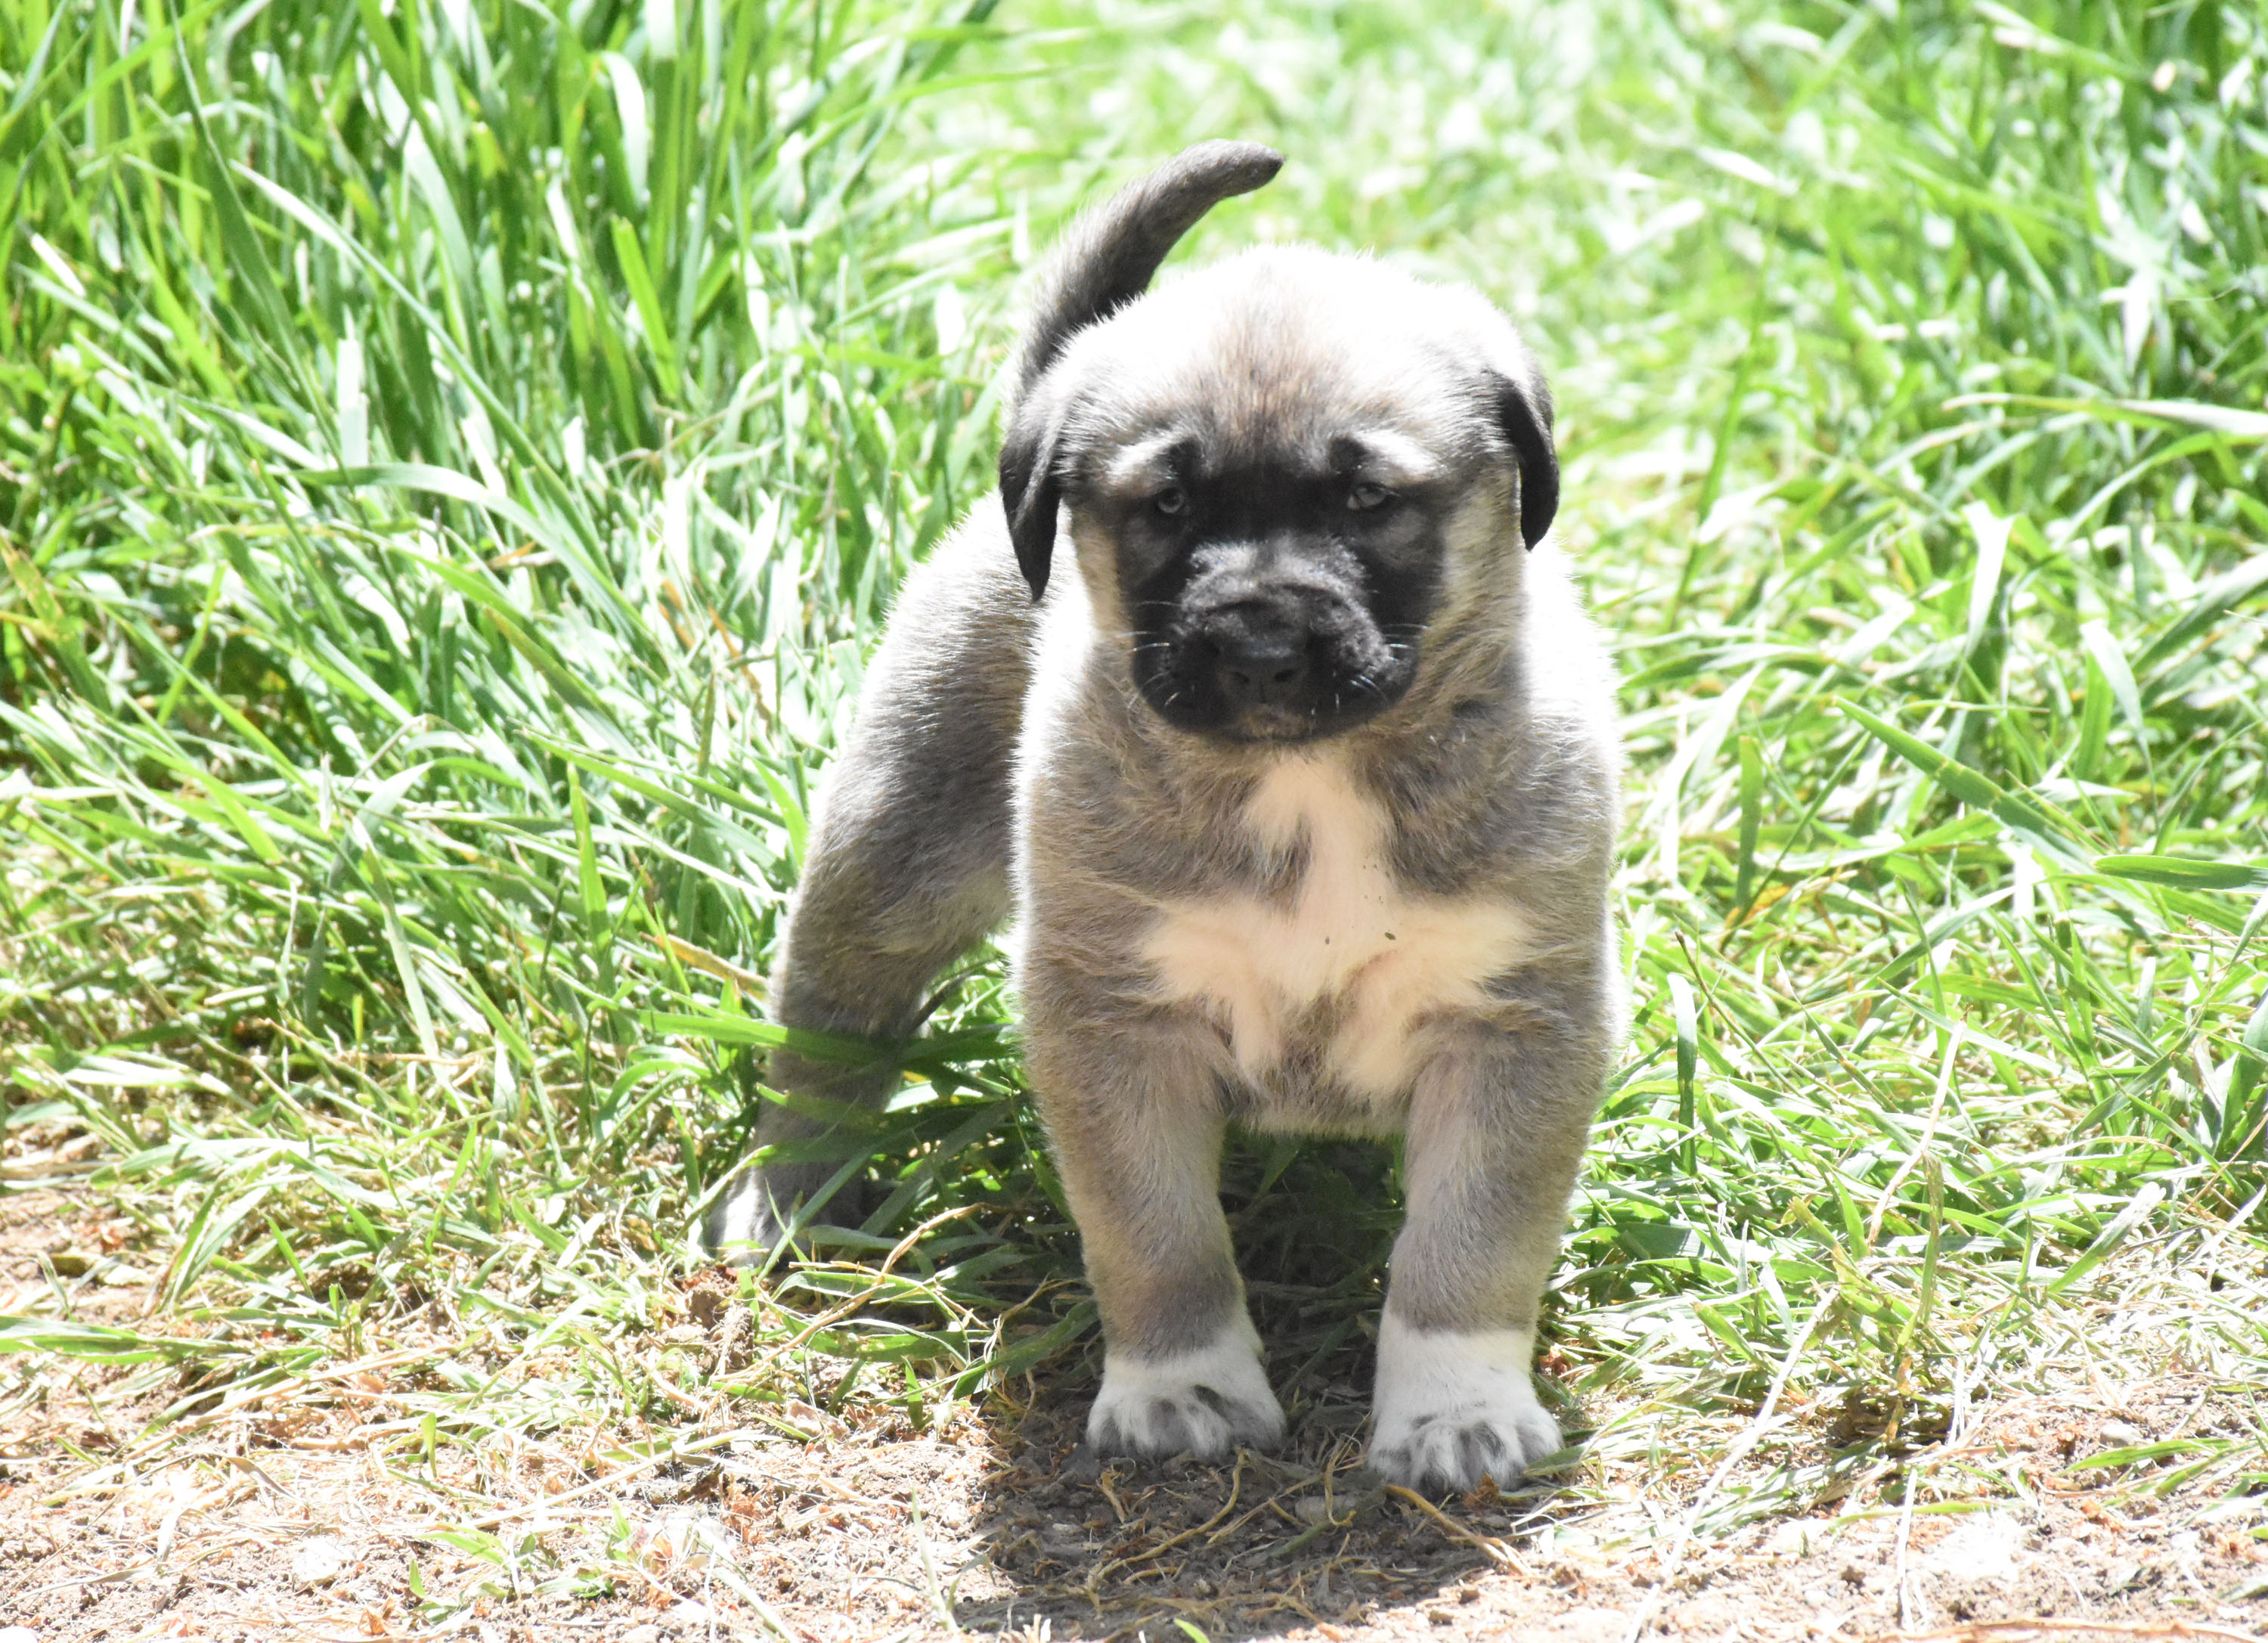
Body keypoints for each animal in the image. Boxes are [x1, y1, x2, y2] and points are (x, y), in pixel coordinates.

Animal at [699, 147, 1624, 1497]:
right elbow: (1156, 1236)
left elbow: (1469, 1244)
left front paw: (1457, 1405)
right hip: (890, 857)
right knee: (826, 1035)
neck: (1312, 779)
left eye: (1366, 497)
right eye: (1169, 509)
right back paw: (792, 1196)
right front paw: (1180, 1384)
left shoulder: (1516, 1023)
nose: (1260, 649)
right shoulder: (1114, 1022)